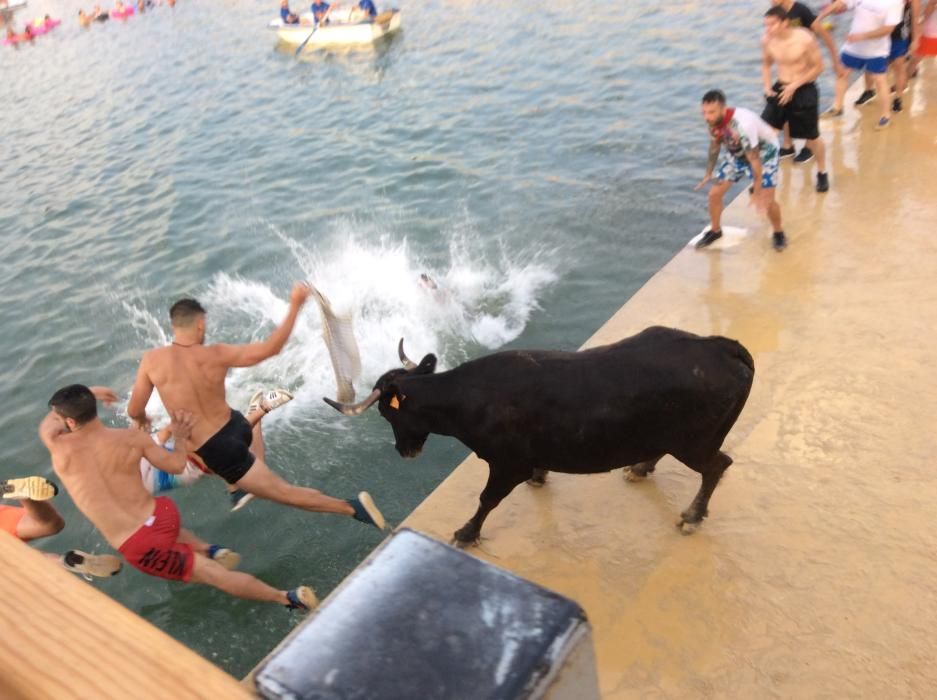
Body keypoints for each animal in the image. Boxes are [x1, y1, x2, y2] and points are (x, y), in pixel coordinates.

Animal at [326, 326, 756, 544]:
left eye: (386, 412)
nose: (405, 451)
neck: (467, 397)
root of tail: (722, 346)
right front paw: (540, 477)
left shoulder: (505, 464)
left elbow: (486, 499)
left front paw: (467, 532)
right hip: (675, 436)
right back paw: (640, 467)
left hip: (696, 442)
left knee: (718, 466)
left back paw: (692, 517)